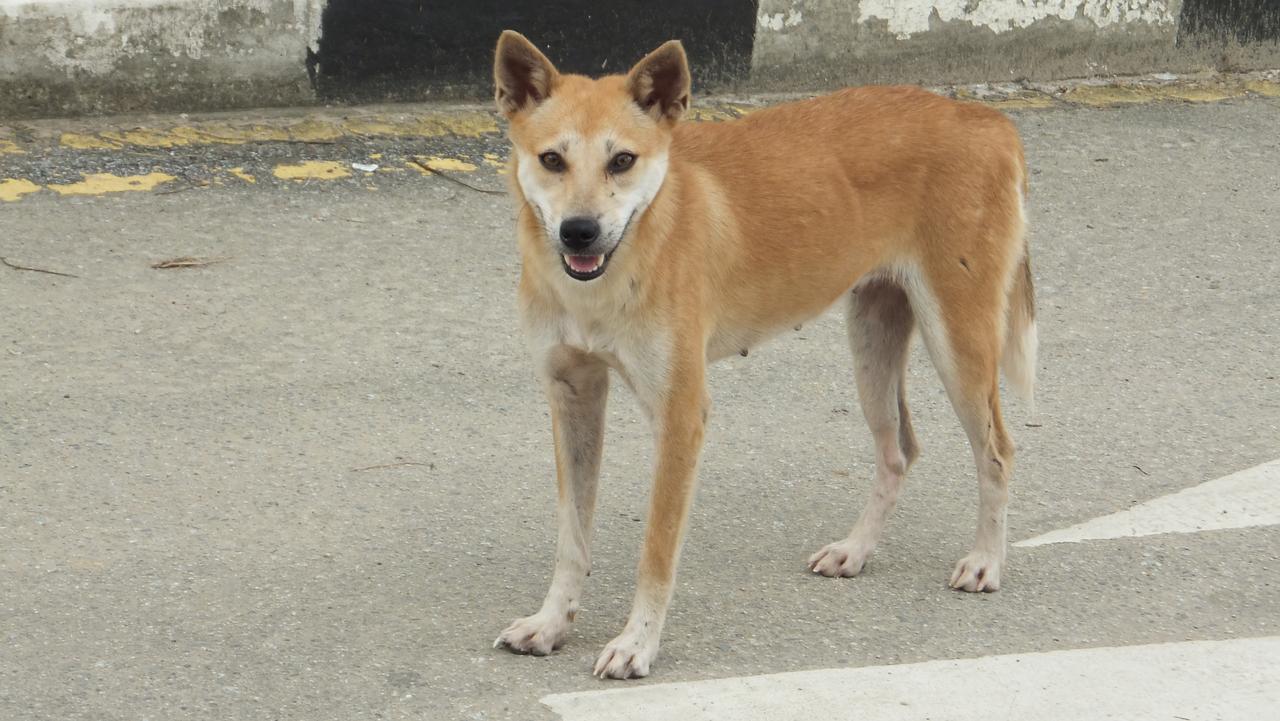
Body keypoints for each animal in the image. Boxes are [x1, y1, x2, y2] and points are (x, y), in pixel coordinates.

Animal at [488, 29, 1039, 681]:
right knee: (899, 450)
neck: (614, 270)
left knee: (997, 452)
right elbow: (571, 539)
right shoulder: (572, 395)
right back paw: (855, 550)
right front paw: (552, 622)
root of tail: (986, 120)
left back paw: (985, 561)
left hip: (959, 341)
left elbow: (656, 551)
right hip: (873, 338)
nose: (579, 231)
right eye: (552, 160)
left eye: (621, 160)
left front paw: (637, 644)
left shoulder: (680, 415)